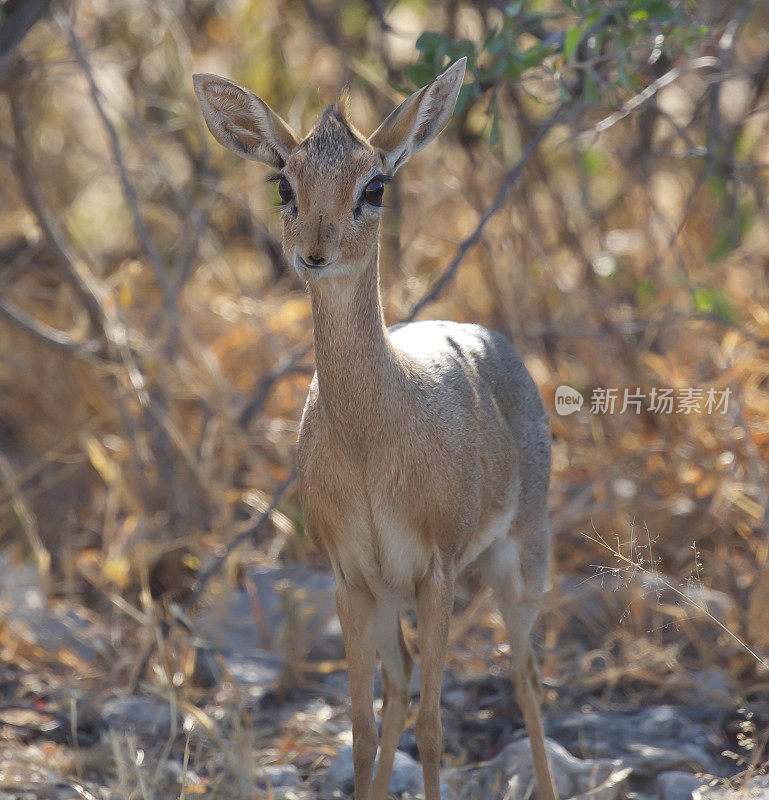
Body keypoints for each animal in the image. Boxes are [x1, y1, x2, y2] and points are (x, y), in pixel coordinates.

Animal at [195, 57, 560, 800]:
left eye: (375, 185)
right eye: (283, 181)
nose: (314, 252)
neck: (371, 439)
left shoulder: (436, 573)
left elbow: (433, 727)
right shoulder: (352, 579)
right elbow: (362, 729)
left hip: (520, 562)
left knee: (525, 676)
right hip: (397, 594)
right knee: (403, 682)